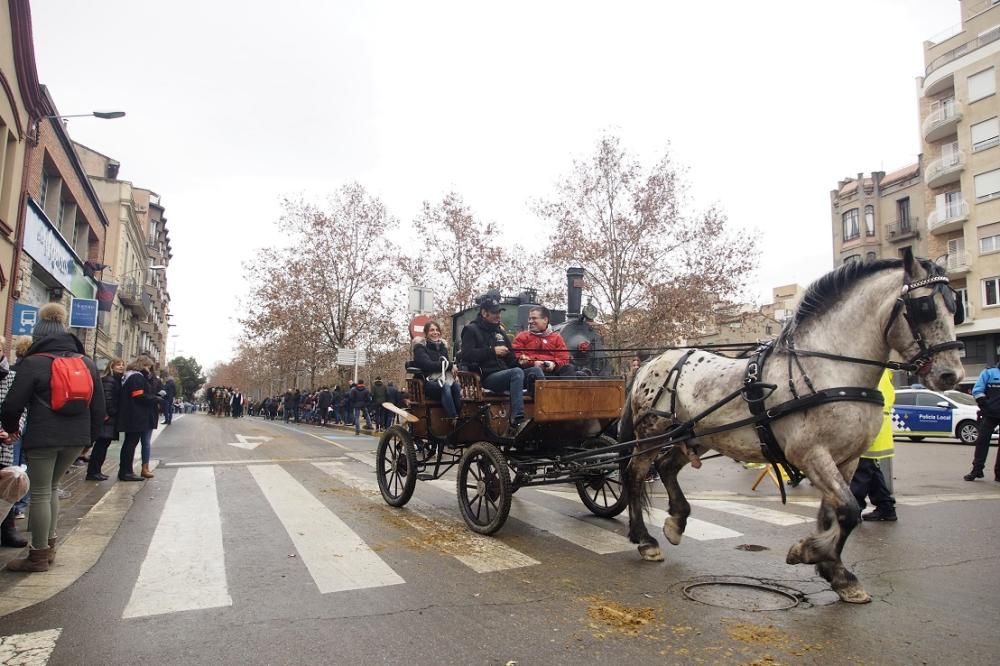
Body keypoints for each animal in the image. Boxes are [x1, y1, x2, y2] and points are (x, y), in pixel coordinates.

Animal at [620, 250, 964, 600]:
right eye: (924, 307)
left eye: (955, 307)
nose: (951, 375)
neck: (828, 369)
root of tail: (651, 362)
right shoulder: (810, 454)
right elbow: (849, 509)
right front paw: (811, 552)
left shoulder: (847, 459)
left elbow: (835, 512)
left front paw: (835, 572)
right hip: (651, 434)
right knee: (635, 474)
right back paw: (644, 539)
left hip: (697, 435)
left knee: (666, 468)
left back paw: (676, 522)